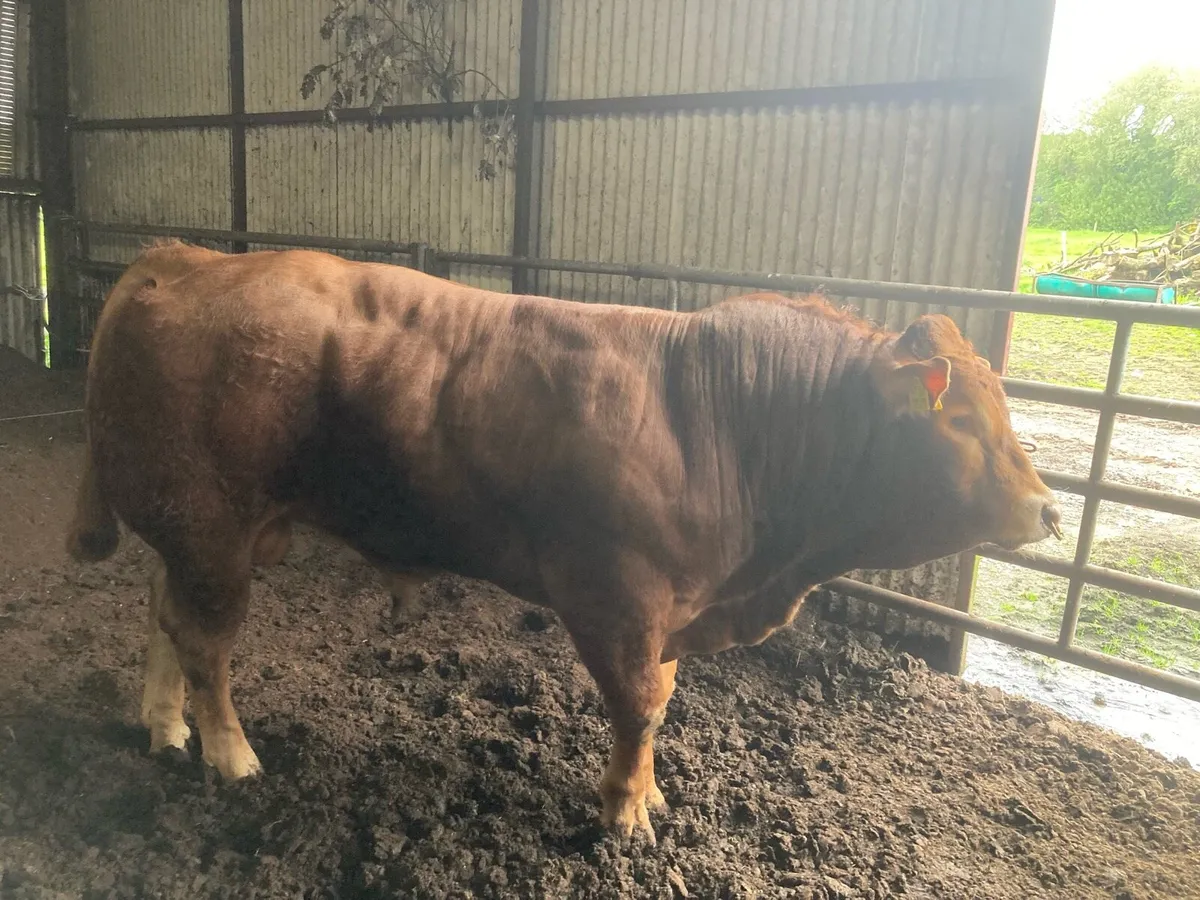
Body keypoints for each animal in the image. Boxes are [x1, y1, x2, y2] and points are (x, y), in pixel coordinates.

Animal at [66, 240, 1061, 843]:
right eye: (962, 418)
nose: (1050, 508)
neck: (724, 419)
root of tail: (179, 259)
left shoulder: (673, 609)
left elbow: (661, 702)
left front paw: (648, 793)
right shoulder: (616, 598)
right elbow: (641, 705)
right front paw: (625, 814)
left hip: (191, 534)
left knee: (163, 617)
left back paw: (165, 727)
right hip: (213, 528)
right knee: (206, 641)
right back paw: (230, 756)